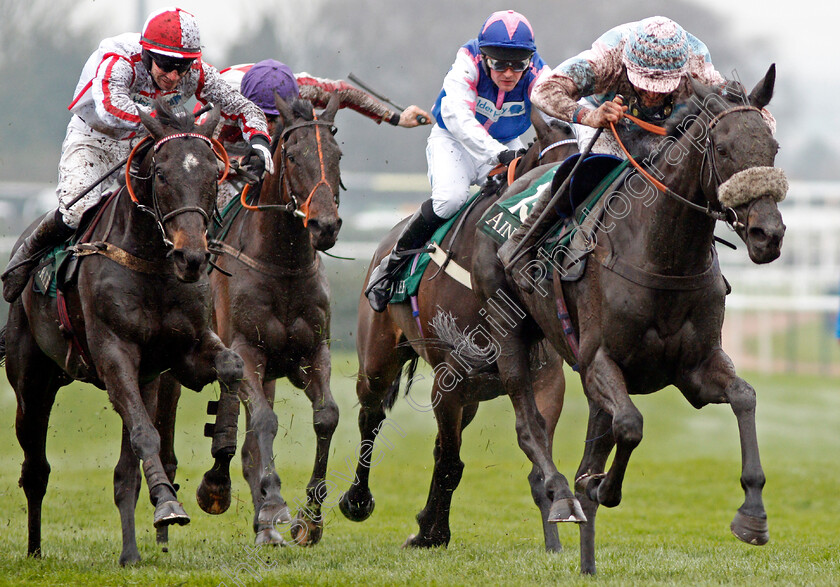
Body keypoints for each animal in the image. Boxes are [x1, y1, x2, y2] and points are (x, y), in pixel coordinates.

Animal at [1, 100, 246, 564]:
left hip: (142, 383)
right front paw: (168, 505)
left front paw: (217, 477)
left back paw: (130, 554)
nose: (192, 256)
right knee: (35, 469)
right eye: (162, 174)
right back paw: (35, 550)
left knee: (123, 474)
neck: (151, 262)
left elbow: (232, 367)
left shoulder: (181, 355)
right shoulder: (114, 357)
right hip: (32, 383)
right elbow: (146, 435)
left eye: (213, 174)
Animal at [156, 92, 342, 548]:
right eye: (292, 155)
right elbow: (262, 422)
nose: (325, 225)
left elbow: (325, 416)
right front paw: (271, 502)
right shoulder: (245, 351)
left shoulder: (312, 351)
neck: (283, 266)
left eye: (337, 154)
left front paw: (309, 520)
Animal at [338, 113, 580, 552]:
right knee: (371, 417)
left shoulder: (546, 379)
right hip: (379, 362)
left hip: (470, 395)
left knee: (436, 444)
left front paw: (554, 539)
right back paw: (357, 500)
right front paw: (434, 534)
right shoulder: (449, 380)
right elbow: (452, 463)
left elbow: (533, 455)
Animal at [472, 65, 788, 576]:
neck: (664, 255)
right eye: (722, 149)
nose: (768, 234)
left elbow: (744, 396)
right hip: (511, 333)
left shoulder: (696, 369)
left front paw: (753, 515)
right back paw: (562, 495)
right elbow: (631, 425)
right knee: (530, 426)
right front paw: (603, 487)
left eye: (772, 148)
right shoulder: (596, 361)